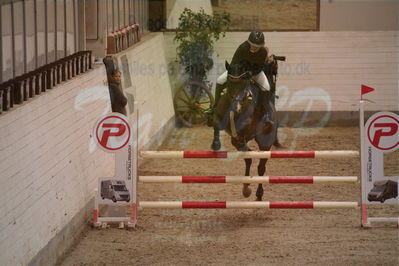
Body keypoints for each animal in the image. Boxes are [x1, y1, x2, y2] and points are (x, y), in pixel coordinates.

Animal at [212, 61, 278, 201]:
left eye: (243, 84)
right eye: (229, 83)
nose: (236, 107)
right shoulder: (218, 117)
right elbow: (216, 124)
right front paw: (215, 144)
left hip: (265, 143)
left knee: (260, 167)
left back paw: (258, 194)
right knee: (248, 157)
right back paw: (247, 188)